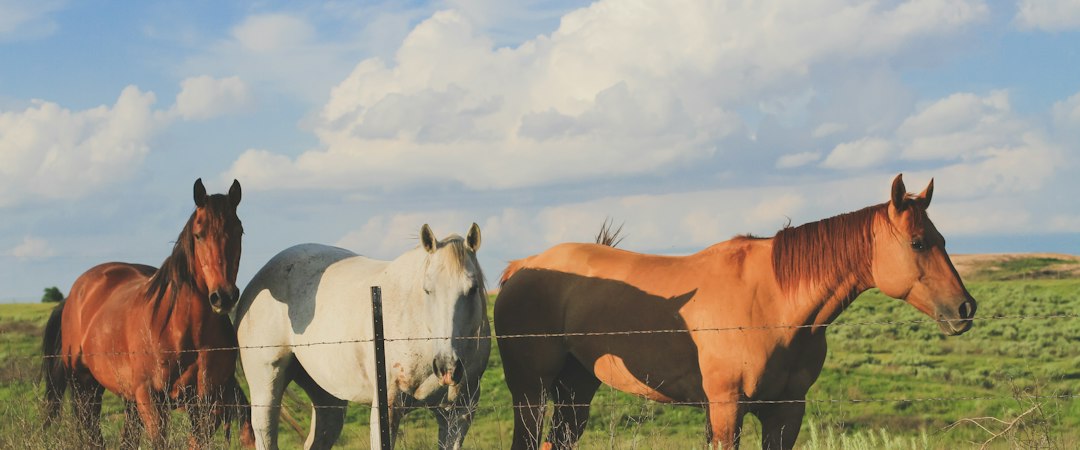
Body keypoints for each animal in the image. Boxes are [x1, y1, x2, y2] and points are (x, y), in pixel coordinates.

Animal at [42, 178, 252, 449]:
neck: (183, 330)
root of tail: (75, 294)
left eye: (239, 231)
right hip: (85, 386)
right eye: (199, 234)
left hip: (128, 398)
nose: (223, 296)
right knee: (91, 434)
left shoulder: (210, 399)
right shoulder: (151, 400)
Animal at [234, 223, 490, 450]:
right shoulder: (387, 408)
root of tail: (256, 282)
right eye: (427, 290)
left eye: (473, 289)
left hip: (327, 399)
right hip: (266, 387)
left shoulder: (457, 414)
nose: (447, 367)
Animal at [494, 174, 977, 449]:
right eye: (918, 242)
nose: (965, 308)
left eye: (943, 239)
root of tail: (522, 267)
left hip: (576, 388)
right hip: (530, 391)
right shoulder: (727, 408)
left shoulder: (786, 414)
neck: (774, 304)